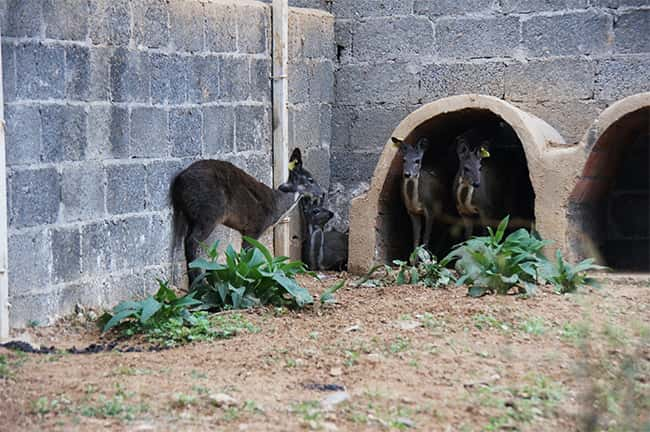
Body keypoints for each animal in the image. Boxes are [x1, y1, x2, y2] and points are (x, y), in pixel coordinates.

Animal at [170, 147, 322, 286]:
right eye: (310, 179)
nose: (322, 193)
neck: (277, 205)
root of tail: (179, 182)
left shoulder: (245, 230)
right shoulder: (255, 227)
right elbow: (247, 254)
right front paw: (246, 279)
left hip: (191, 215)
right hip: (209, 213)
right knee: (191, 240)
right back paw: (198, 284)